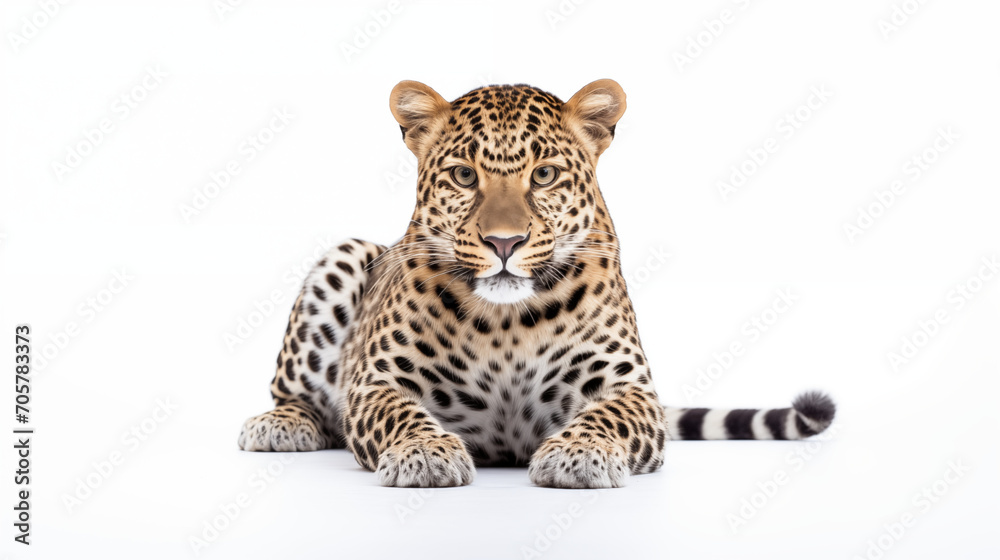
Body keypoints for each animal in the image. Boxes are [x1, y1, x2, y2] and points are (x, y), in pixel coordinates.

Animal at [237, 79, 836, 488]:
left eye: (544, 175)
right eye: (464, 175)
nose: (505, 243)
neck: (506, 325)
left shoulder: (631, 389)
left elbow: (609, 416)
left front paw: (577, 455)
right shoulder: (375, 383)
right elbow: (400, 414)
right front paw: (426, 453)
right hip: (345, 255)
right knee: (296, 396)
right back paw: (280, 425)